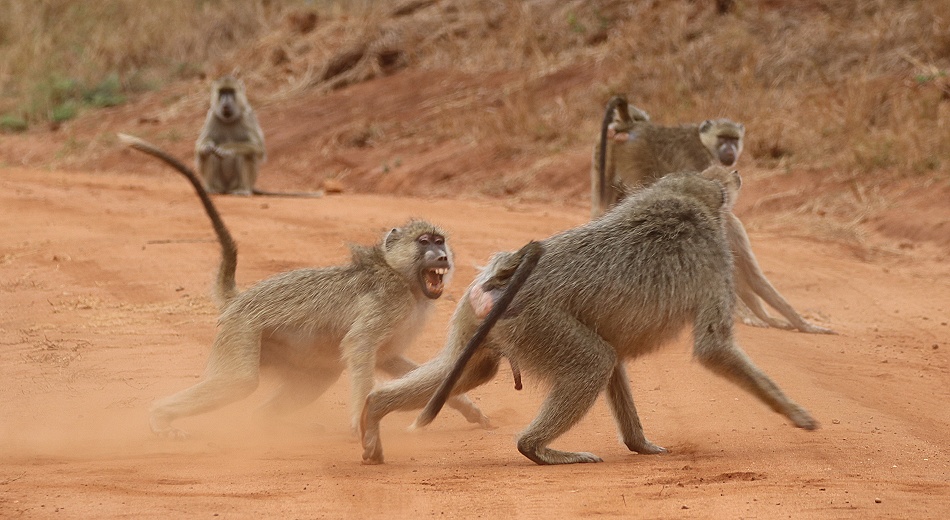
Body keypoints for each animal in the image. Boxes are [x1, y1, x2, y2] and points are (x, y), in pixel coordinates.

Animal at [117, 133, 490, 438]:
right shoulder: (388, 302)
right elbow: (360, 346)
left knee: (309, 381)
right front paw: (360, 421)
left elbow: (392, 360)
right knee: (238, 383)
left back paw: (270, 423)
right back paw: (160, 417)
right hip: (242, 331)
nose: (442, 257)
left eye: (440, 241)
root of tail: (242, 299)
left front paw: (466, 408)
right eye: (424, 242)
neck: (402, 277)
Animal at [360, 165, 818, 465]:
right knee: (592, 363)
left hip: (484, 324)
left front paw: (640, 445)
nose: (735, 172)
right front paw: (796, 414)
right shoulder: (716, 253)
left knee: (470, 371)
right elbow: (713, 346)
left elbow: (617, 355)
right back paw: (538, 449)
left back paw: (374, 412)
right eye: (716, 180)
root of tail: (499, 276)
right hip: (538, 323)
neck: (684, 200)